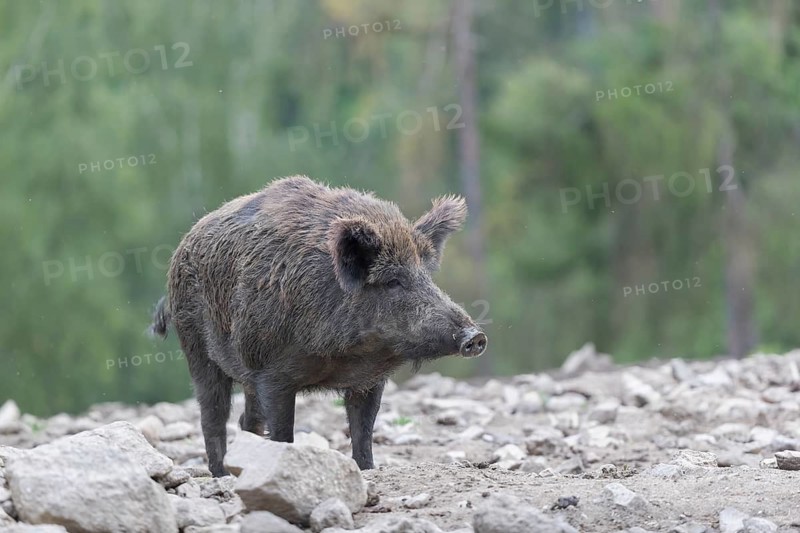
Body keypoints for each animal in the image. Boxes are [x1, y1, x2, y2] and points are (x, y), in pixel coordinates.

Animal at [150, 176, 487, 476]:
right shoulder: (272, 374)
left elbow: (363, 431)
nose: (475, 336)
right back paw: (221, 475)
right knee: (213, 415)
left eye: (427, 275)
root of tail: (182, 247)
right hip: (196, 348)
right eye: (393, 281)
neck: (348, 354)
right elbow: (283, 433)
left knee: (247, 419)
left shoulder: (369, 379)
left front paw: (367, 470)